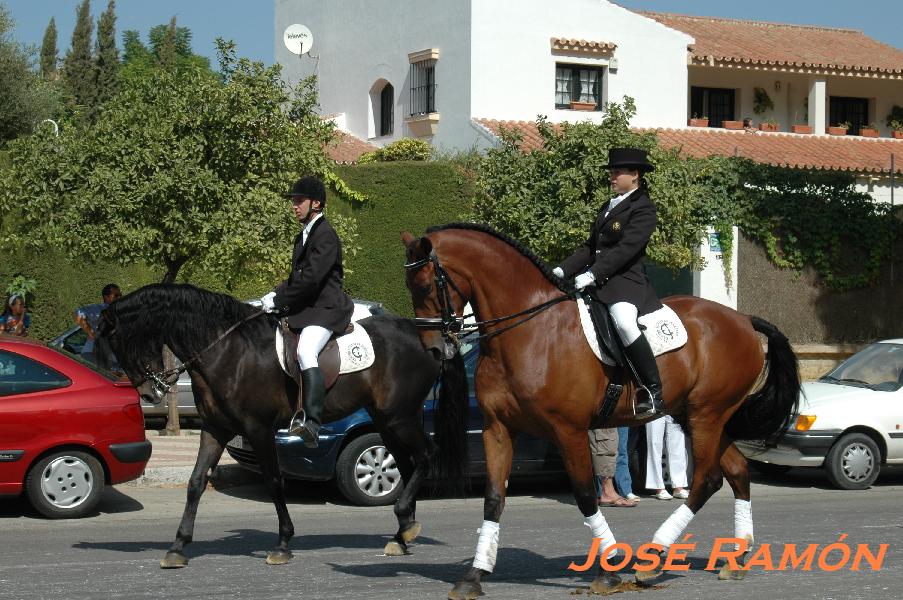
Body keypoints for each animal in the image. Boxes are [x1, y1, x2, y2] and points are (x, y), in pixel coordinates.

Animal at [96, 284, 470, 568]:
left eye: (120, 343)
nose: (149, 392)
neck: (228, 351)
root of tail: (433, 339)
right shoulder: (215, 429)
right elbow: (196, 483)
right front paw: (177, 547)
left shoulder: (259, 429)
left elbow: (275, 482)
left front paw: (283, 543)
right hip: (387, 420)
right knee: (407, 464)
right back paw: (402, 534)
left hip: (399, 416)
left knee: (427, 456)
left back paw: (405, 522)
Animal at [400, 223, 800, 596]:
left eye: (425, 287)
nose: (434, 350)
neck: (529, 331)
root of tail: (743, 319)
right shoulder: (497, 428)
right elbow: (494, 499)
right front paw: (473, 576)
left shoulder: (569, 430)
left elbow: (584, 495)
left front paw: (607, 571)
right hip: (697, 417)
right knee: (738, 471)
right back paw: (737, 557)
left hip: (707, 414)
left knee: (707, 480)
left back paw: (653, 560)